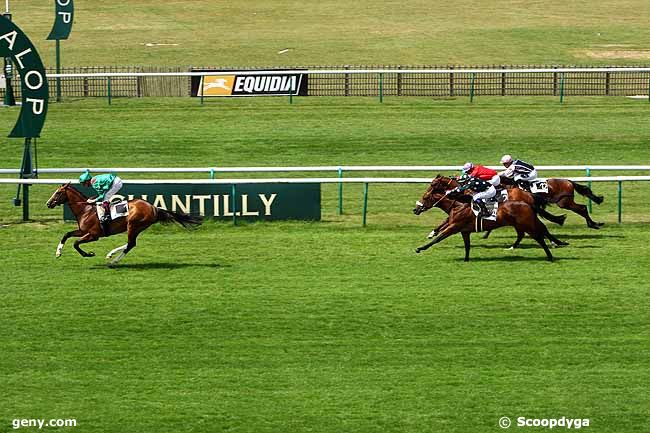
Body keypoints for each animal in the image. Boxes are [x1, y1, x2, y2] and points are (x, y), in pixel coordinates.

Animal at [45, 181, 201, 264]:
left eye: (58, 193)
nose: (48, 203)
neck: (86, 209)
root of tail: (154, 208)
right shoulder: (83, 230)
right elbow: (66, 234)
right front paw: (58, 252)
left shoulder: (94, 235)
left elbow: (76, 243)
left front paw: (88, 254)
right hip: (135, 227)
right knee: (130, 244)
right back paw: (112, 256)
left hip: (133, 225)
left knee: (131, 244)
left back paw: (113, 260)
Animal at [412, 175, 556, 260]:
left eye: (432, 185)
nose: (415, 209)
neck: (459, 203)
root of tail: (529, 196)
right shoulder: (461, 228)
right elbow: (450, 231)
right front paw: (432, 233)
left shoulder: (455, 226)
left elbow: (440, 236)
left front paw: (421, 248)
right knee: (534, 231)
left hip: (525, 223)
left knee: (538, 232)